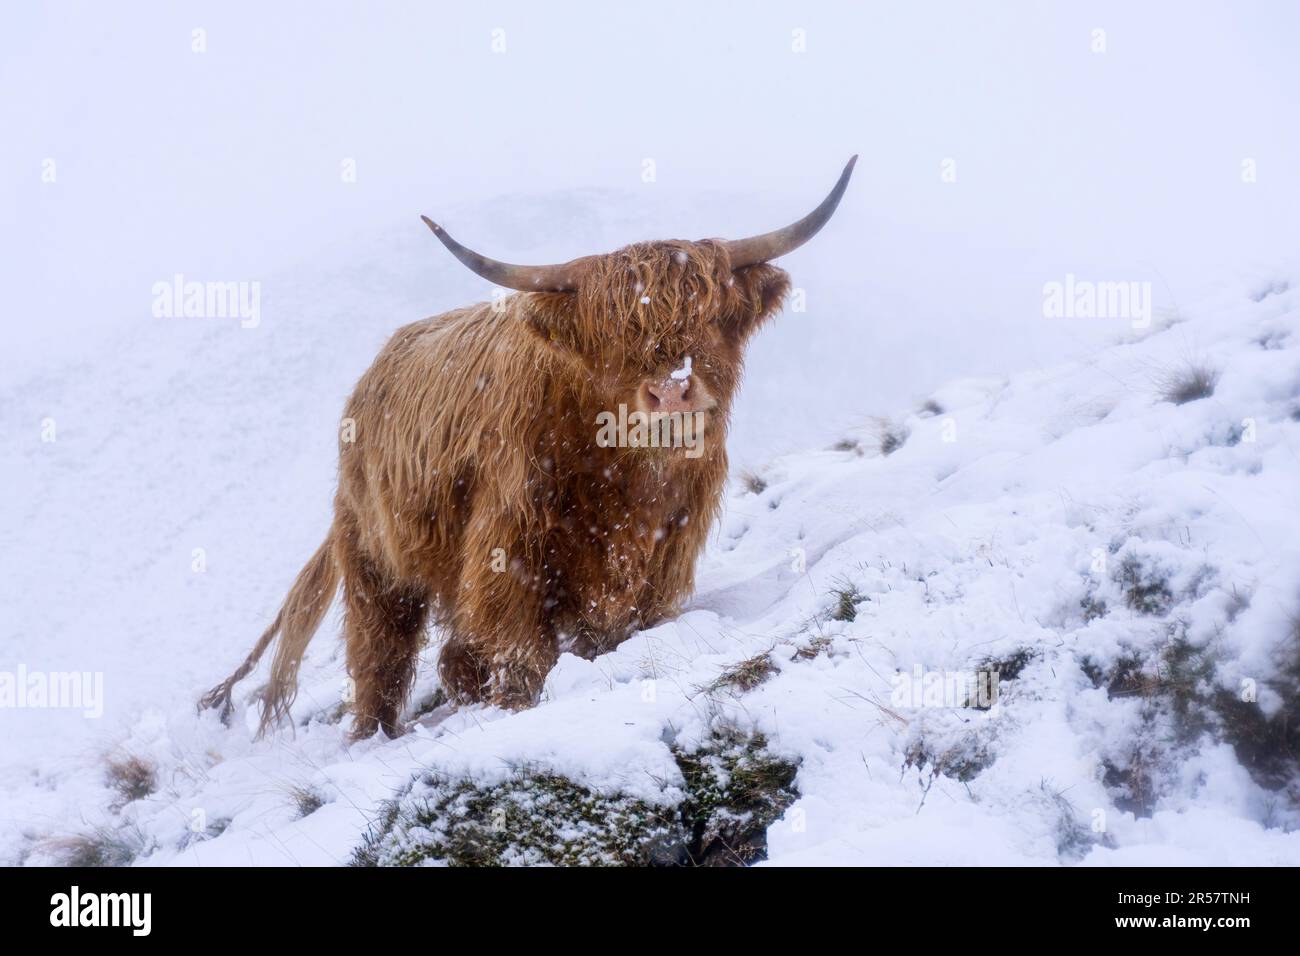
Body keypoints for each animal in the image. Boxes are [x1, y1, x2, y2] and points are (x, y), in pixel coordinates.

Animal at [200, 157, 857, 739]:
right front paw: (517, 705)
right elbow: (518, 646)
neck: (627, 480)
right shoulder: (509, 538)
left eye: (712, 313)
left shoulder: (666, 548)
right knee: (380, 657)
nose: (672, 390)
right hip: (374, 557)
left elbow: (619, 625)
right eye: (610, 334)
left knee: (451, 658)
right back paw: (371, 733)